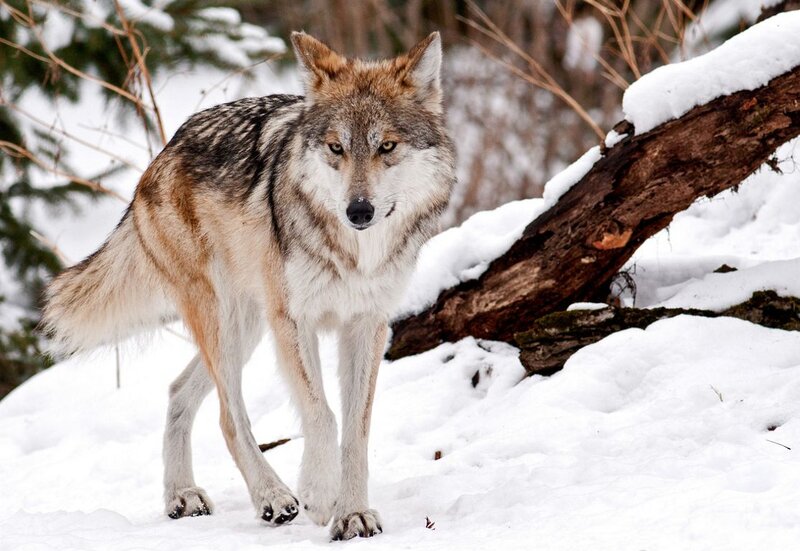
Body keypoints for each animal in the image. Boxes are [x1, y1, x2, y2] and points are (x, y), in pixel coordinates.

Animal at [41, 31, 455, 540]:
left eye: (387, 146)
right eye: (336, 148)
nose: (358, 211)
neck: (356, 253)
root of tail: (159, 158)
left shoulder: (367, 325)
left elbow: (357, 428)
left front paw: (354, 513)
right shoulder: (293, 321)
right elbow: (322, 414)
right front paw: (320, 493)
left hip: (246, 328)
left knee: (178, 391)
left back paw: (182, 495)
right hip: (224, 320)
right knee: (228, 415)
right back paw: (273, 497)